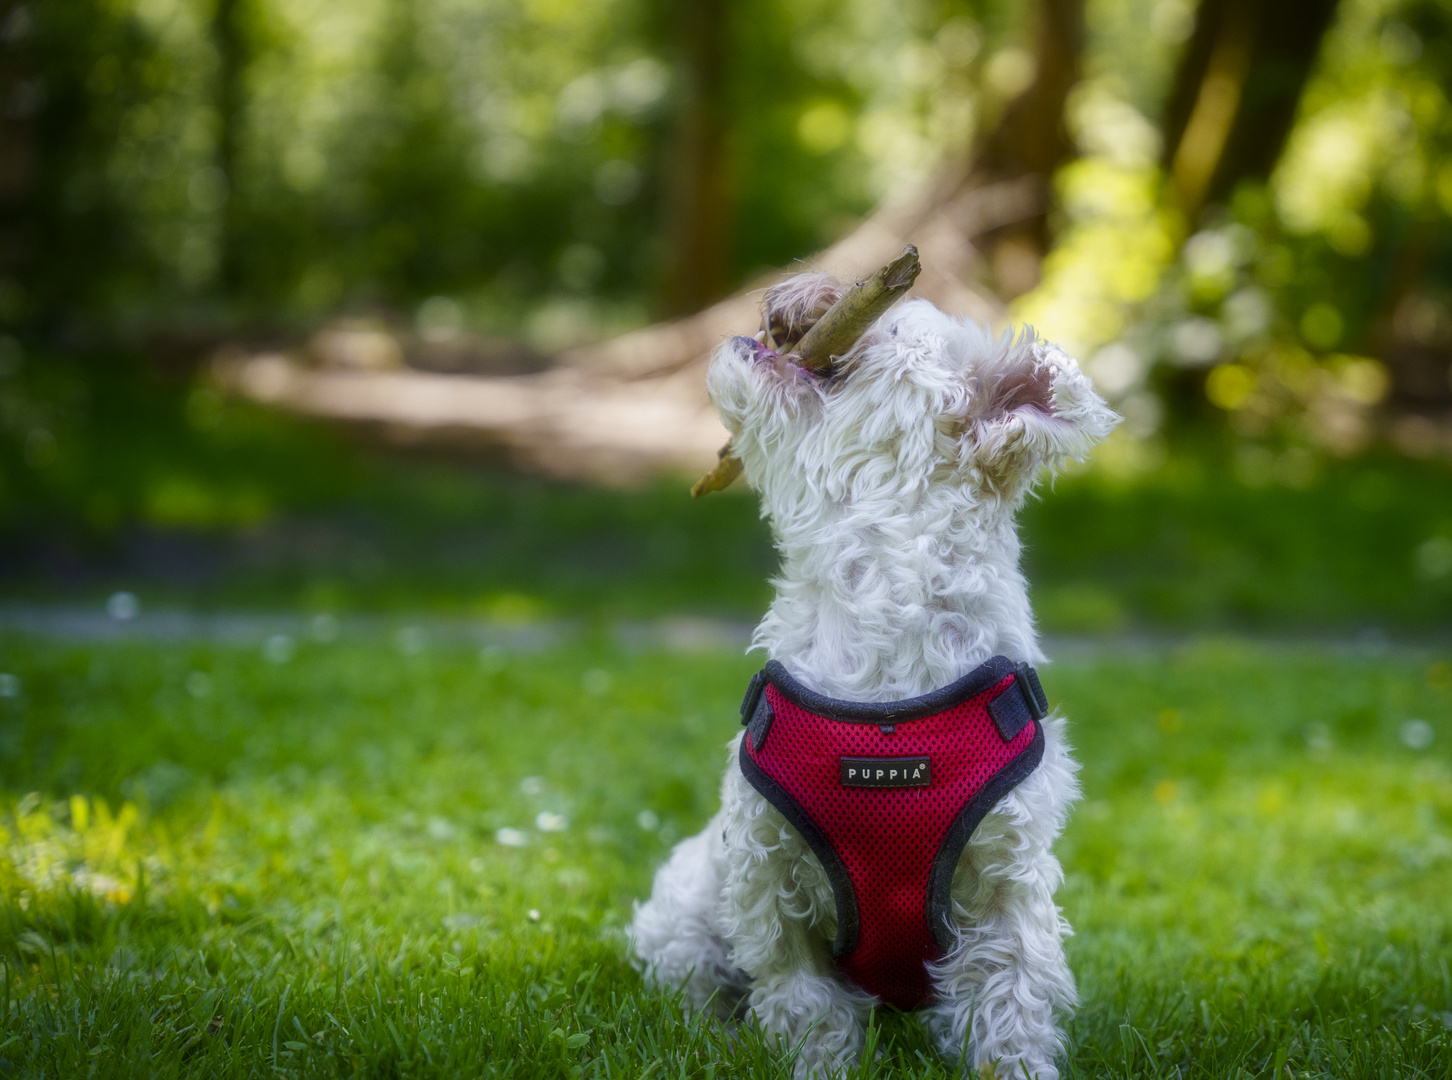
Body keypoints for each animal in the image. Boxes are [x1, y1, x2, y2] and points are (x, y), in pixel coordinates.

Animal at [630, 274, 1115, 1074]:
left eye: (892, 323)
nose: (796, 287)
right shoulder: (770, 883)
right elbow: (807, 1008)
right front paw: (816, 1064)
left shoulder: (1006, 894)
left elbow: (1011, 1010)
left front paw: (1019, 1066)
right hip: (686, 916)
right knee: (693, 984)